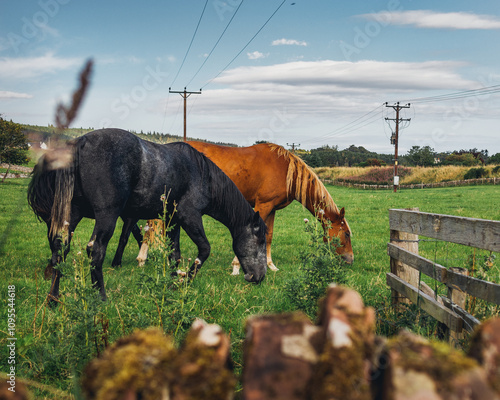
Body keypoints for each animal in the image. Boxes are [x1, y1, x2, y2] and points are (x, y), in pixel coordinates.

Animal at [27, 130, 268, 302]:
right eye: (260, 240)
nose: (260, 277)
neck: (201, 174)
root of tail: (81, 142)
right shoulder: (189, 216)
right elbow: (204, 250)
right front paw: (186, 281)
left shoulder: (173, 221)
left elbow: (174, 254)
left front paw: (172, 283)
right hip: (107, 215)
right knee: (95, 251)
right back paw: (101, 297)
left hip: (72, 215)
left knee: (60, 250)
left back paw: (53, 298)